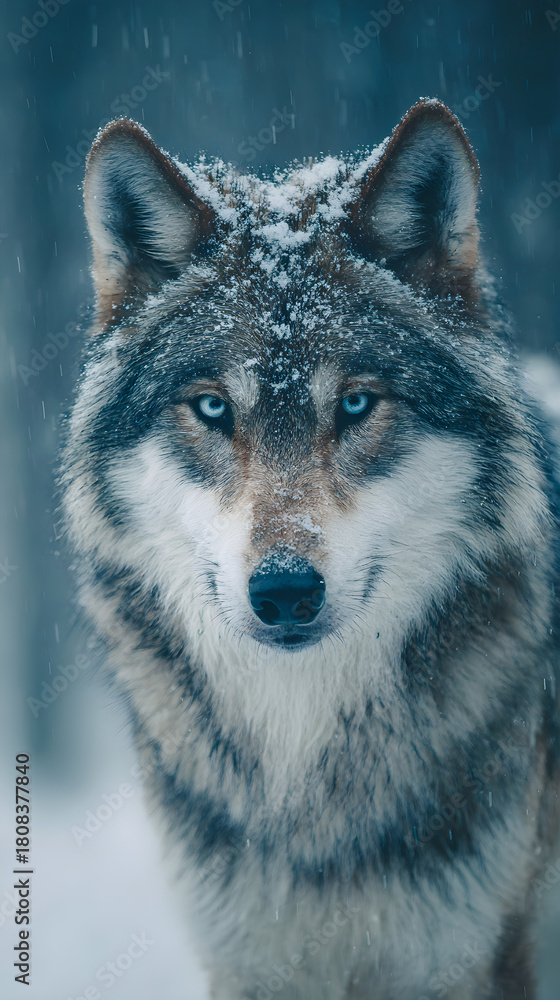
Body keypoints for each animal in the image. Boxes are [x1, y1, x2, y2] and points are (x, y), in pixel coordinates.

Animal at [62, 100, 560, 999]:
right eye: (213, 407)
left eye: (357, 404)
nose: (285, 591)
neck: (302, 758)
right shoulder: (248, 962)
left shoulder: (475, 957)